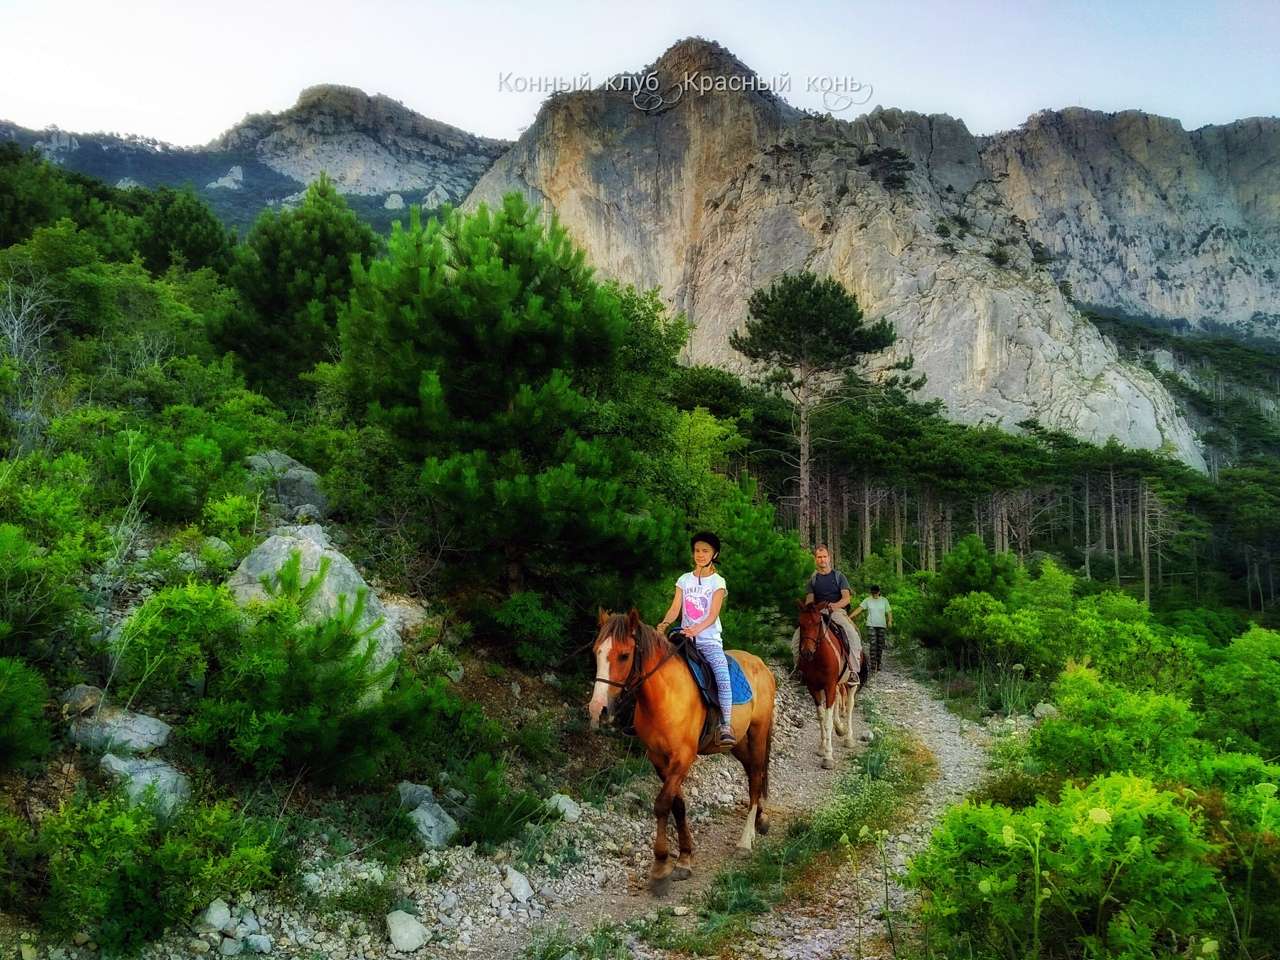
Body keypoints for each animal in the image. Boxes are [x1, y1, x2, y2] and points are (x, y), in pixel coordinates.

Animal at [586, 611, 773, 901]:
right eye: (596, 652)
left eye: (624, 655)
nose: (598, 710)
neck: (665, 696)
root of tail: (762, 665)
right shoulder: (659, 759)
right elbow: (678, 805)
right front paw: (684, 859)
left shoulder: (683, 758)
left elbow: (662, 804)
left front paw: (660, 869)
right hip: (739, 744)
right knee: (756, 773)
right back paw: (761, 820)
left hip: (758, 734)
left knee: (755, 778)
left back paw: (745, 841)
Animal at [793, 604, 865, 773]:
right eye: (800, 623)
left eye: (817, 623)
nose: (807, 652)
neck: (818, 658)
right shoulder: (814, 688)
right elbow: (821, 717)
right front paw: (822, 747)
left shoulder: (830, 686)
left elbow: (827, 720)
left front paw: (828, 757)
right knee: (839, 700)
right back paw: (840, 729)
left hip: (851, 681)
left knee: (850, 705)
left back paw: (848, 738)